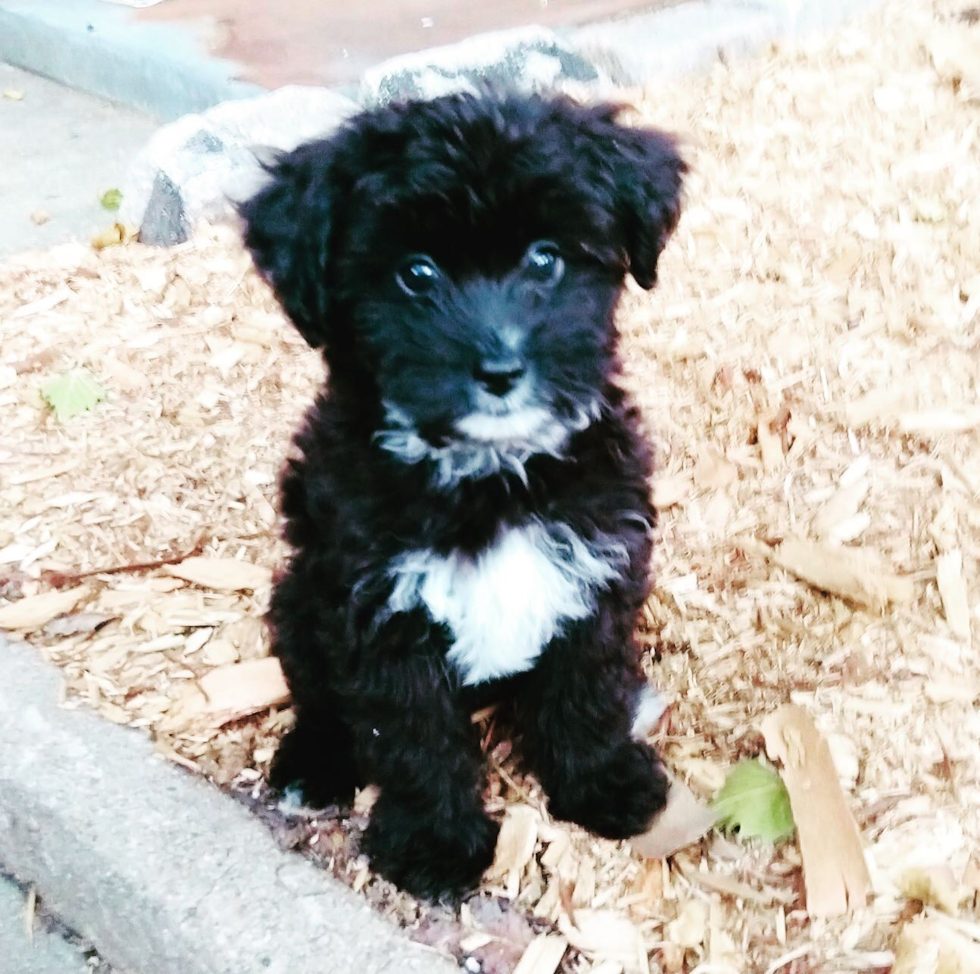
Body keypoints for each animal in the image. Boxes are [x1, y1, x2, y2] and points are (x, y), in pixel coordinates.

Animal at [241, 91, 684, 900]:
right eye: (415, 273)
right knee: (318, 696)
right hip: (298, 597)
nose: (500, 368)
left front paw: (603, 783)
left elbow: (587, 686)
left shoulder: (597, 569)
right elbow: (414, 734)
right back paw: (310, 763)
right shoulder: (378, 610)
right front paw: (434, 844)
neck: (493, 473)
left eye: (546, 256)